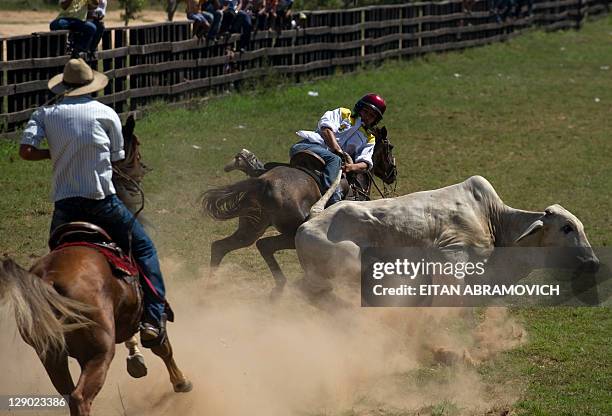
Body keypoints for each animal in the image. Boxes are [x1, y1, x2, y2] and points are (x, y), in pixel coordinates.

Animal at [203, 125, 400, 298]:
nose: (392, 174)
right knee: (264, 245)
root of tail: (263, 182)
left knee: (222, 247)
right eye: (389, 147)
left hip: (251, 228)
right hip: (291, 234)